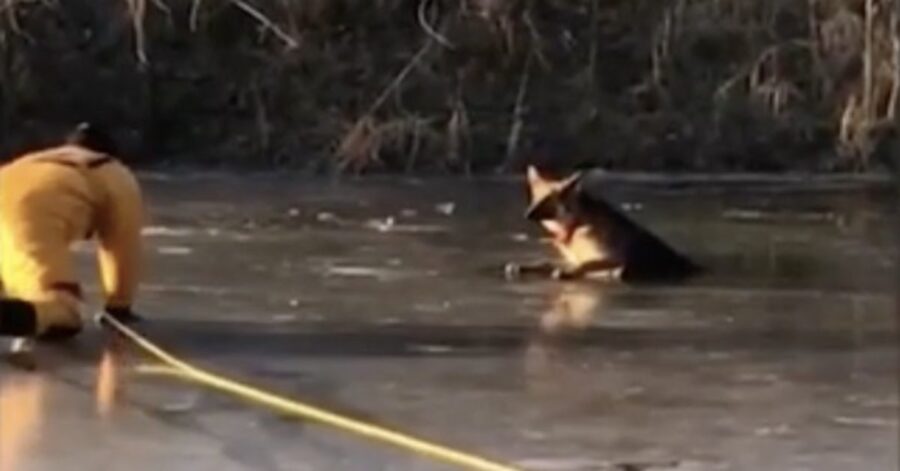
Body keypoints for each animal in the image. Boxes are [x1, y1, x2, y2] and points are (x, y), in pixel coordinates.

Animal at [506, 166, 704, 284]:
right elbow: (545, 262)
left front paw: (565, 272)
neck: (576, 225)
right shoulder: (572, 258)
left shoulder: (613, 258)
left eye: (547, 200)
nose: (526, 215)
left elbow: (583, 265)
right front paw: (525, 267)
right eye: (536, 198)